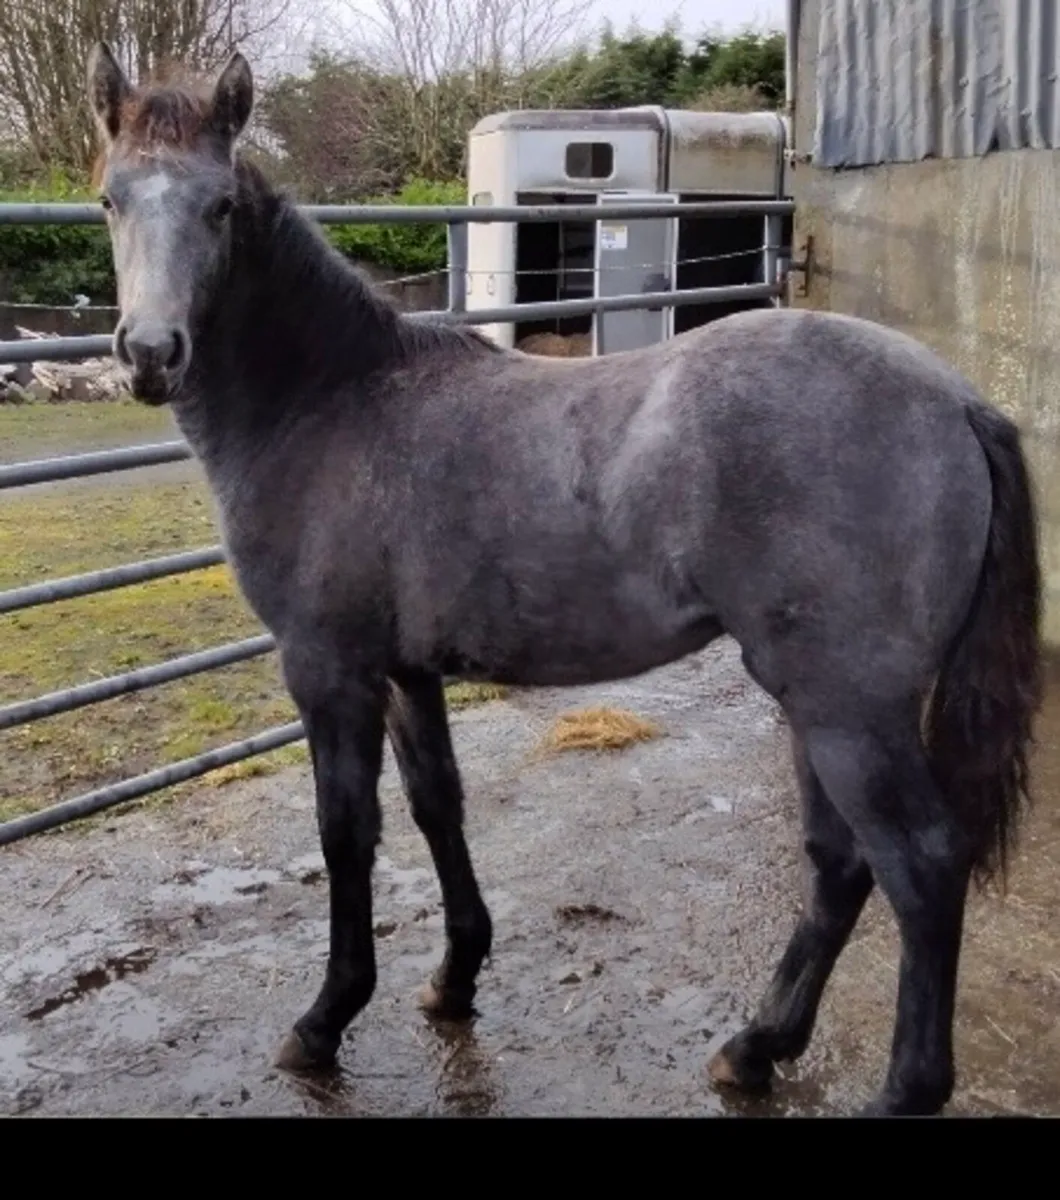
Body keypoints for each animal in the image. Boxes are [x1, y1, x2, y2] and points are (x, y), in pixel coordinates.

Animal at [85, 43, 1043, 1117]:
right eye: (111, 198)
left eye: (217, 207)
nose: (150, 354)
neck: (333, 401)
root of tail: (959, 401)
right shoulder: (407, 672)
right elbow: (438, 805)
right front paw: (455, 978)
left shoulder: (328, 671)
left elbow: (346, 832)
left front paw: (326, 1019)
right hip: (820, 703)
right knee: (841, 866)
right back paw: (755, 1047)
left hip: (851, 710)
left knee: (918, 865)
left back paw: (894, 1085)